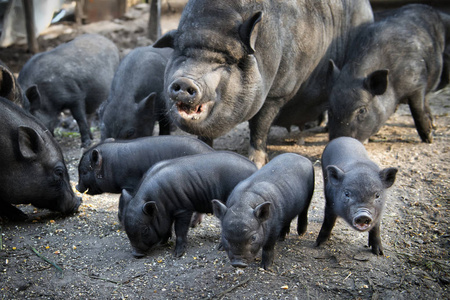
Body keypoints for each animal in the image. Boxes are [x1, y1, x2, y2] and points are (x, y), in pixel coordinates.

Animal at [122, 152, 256, 258]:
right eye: (125, 227)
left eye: (145, 229)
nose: (136, 254)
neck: (160, 202)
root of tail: (255, 168)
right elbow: (167, 227)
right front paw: (163, 242)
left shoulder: (183, 209)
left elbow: (180, 230)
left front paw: (177, 255)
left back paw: (220, 248)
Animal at [154, 0, 372, 169]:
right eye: (183, 53)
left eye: (224, 62)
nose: (184, 81)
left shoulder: (277, 93)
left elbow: (259, 126)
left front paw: (257, 164)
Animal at [326, 4, 450, 143]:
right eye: (330, 110)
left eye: (362, 110)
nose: (338, 139)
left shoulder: (417, 83)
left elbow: (417, 109)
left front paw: (429, 139)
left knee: (426, 100)